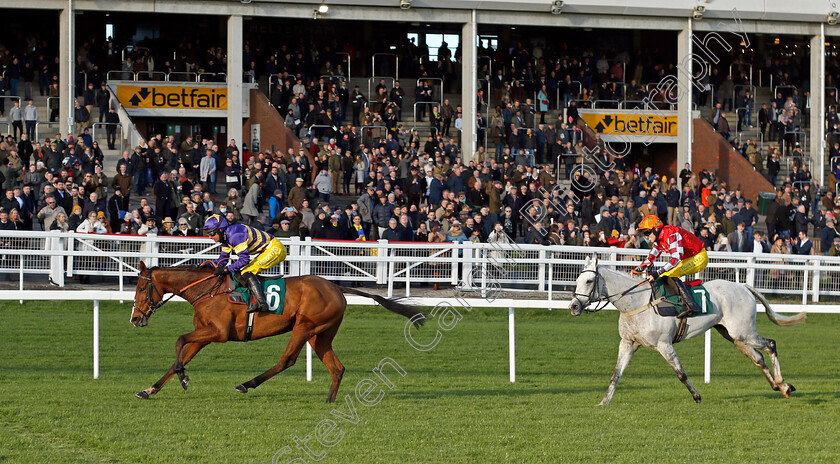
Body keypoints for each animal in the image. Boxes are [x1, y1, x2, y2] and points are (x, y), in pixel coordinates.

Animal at [130, 260, 426, 402]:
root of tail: (335, 286)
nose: (134, 319)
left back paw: (246, 384)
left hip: (305, 326)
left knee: (287, 360)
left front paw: (184, 379)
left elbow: (179, 340)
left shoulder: (218, 334)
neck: (207, 290)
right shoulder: (204, 334)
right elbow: (179, 355)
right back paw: (329, 401)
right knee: (337, 367)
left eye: (142, 288)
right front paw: (149, 389)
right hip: (321, 334)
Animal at [568, 256, 804, 404]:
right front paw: (603, 402)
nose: (574, 306)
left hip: (743, 332)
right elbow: (616, 375)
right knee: (758, 357)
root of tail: (743, 286)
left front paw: (697, 396)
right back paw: (780, 387)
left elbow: (680, 373)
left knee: (771, 344)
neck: (637, 303)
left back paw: (783, 385)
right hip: (734, 335)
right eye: (577, 280)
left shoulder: (664, 344)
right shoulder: (628, 343)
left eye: (589, 281)